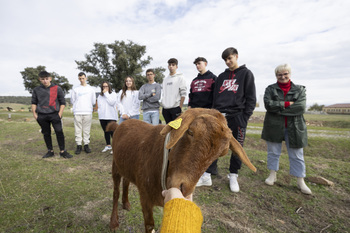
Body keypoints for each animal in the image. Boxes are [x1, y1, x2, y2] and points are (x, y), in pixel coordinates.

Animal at [105, 108, 256, 232]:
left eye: (221, 153)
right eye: (190, 132)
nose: (184, 189)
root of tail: (121, 124)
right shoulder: (145, 197)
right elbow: (149, 225)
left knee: (126, 181)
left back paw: (126, 203)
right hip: (115, 165)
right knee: (115, 192)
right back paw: (114, 222)